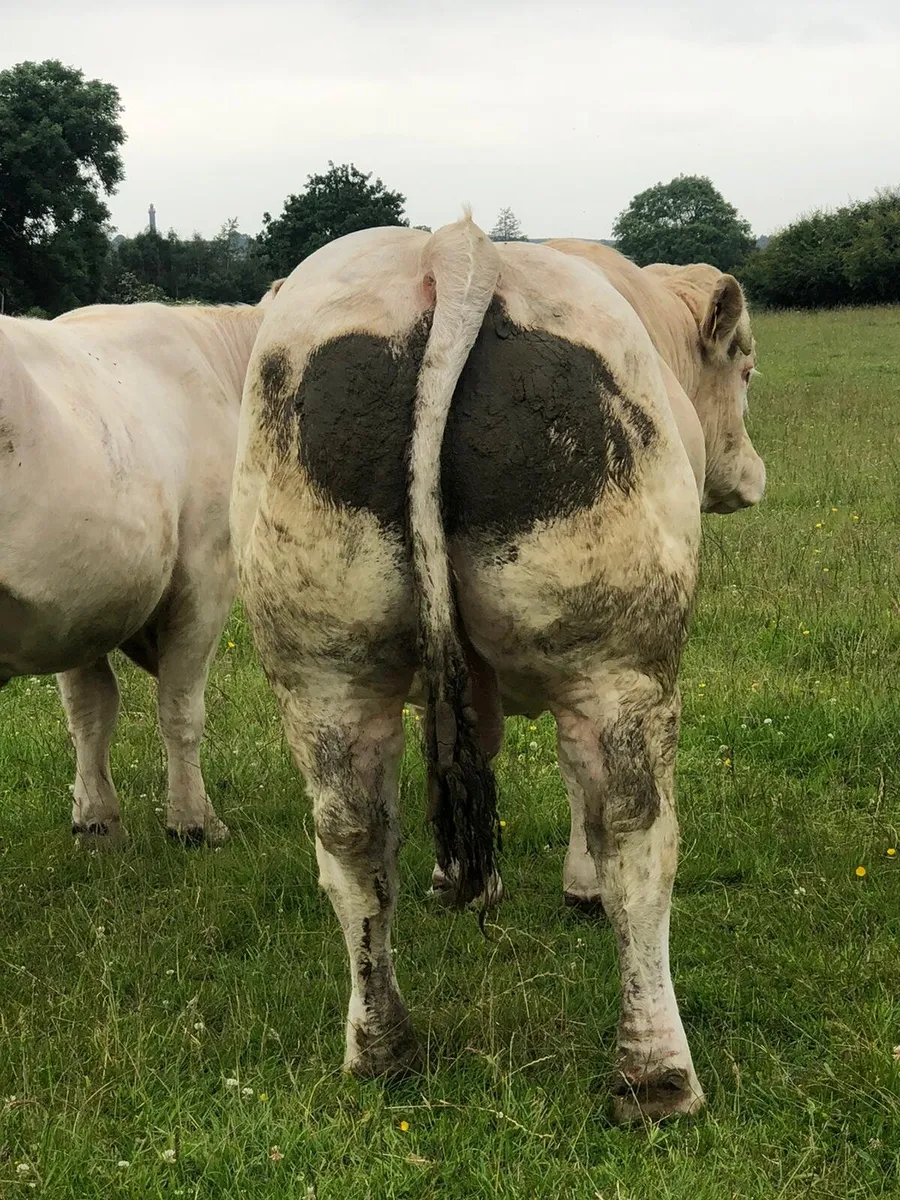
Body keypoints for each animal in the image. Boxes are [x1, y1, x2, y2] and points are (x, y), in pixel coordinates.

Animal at [0, 290, 278, 845]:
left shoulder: (77, 593)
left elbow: (90, 709)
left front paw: (96, 821)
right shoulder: (206, 571)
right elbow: (181, 705)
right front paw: (194, 823)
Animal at [231, 215, 765, 1122]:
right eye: (747, 365)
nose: (753, 476)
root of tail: (452, 248)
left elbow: (454, 758)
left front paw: (457, 883)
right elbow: (579, 796)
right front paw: (573, 889)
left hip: (323, 668)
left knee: (353, 836)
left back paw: (382, 1050)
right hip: (619, 661)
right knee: (636, 832)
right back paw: (658, 1076)